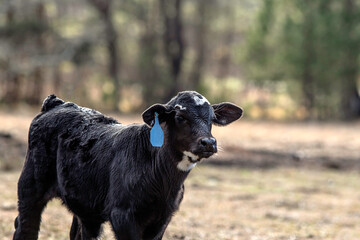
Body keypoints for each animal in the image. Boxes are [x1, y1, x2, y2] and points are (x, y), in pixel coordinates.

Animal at [13, 91, 242, 239]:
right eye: (179, 116)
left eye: (212, 118)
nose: (208, 142)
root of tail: (58, 103)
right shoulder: (122, 214)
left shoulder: (163, 218)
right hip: (30, 185)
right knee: (25, 226)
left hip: (84, 203)